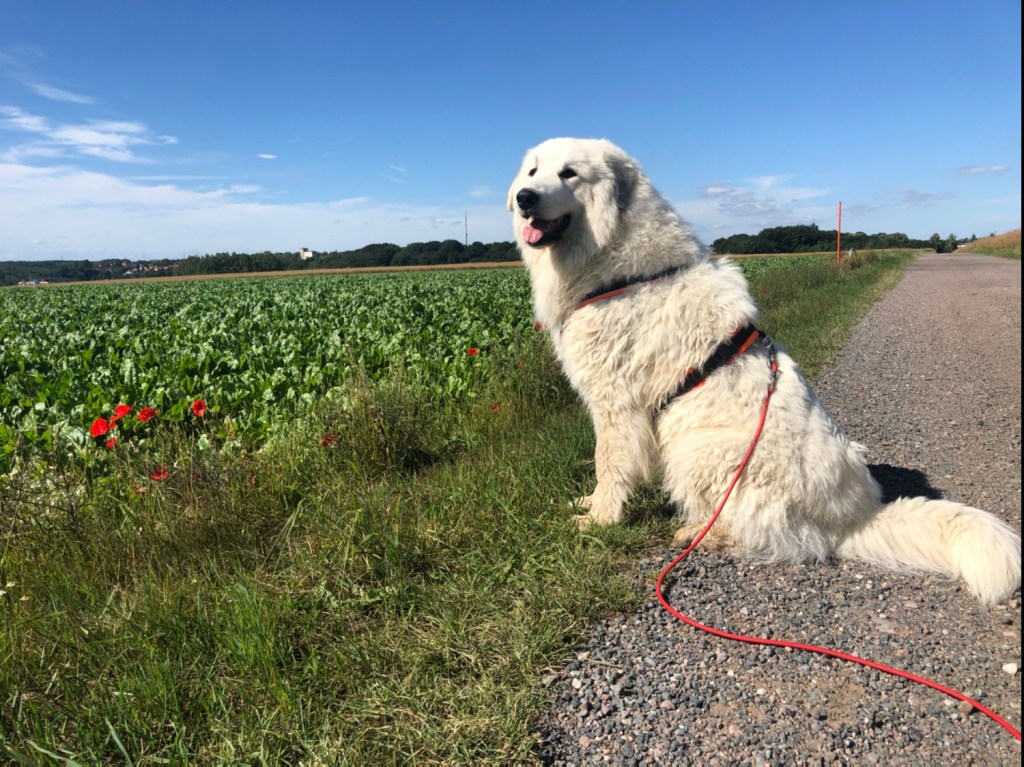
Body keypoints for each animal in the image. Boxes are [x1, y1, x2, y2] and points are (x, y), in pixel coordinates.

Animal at [508, 137, 1020, 605]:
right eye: (532, 171)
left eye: (569, 173)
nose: (524, 198)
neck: (619, 267)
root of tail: (854, 517)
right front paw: (590, 506)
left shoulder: (614, 404)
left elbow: (608, 466)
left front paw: (598, 520)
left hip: (700, 449)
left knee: (761, 534)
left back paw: (700, 533)